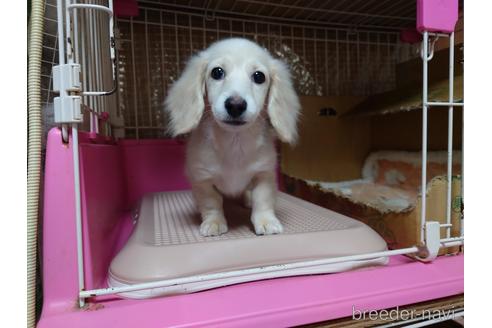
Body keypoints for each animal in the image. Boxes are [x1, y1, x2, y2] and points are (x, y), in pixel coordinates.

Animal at [166, 38, 300, 236]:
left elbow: (262, 200)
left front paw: (266, 221)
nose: (235, 105)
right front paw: (213, 222)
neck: (235, 144)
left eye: (259, 76)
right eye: (217, 72)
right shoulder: (202, 179)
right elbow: (211, 202)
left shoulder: (263, 174)